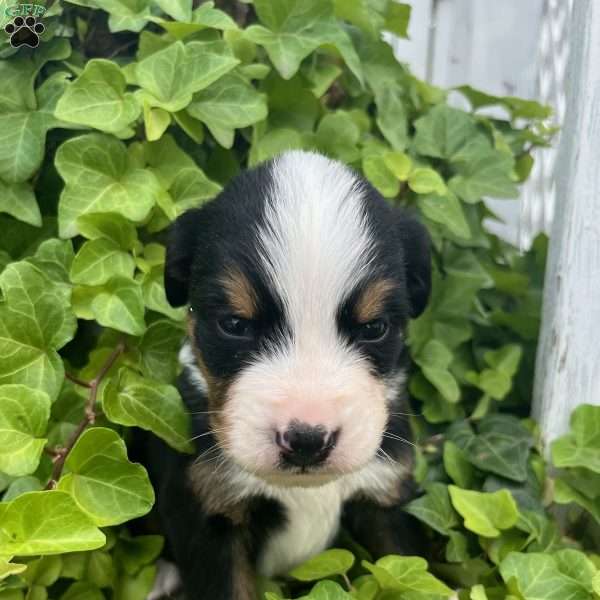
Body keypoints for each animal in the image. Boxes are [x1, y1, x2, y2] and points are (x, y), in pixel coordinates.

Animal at [148, 151, 434, 600]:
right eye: (235, 324)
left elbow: (409, 573)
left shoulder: (387, 495)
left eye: (374, 328)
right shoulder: (211, 512)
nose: (306, 441)